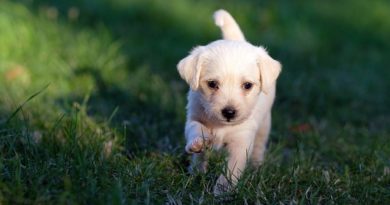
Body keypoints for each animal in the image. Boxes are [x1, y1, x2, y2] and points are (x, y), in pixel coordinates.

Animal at [177, 9, 280, 195]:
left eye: (247, 85)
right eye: (212, 84)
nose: (229, 112)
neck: (222, 126)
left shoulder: (241, 142)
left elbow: (231, 169)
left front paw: (222, 191)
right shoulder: (194, 117)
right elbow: (196, 129)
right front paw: (197, 143)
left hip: (265, 124)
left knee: (259, 146)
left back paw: (256, 166)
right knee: (200, 157)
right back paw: (196, 171)